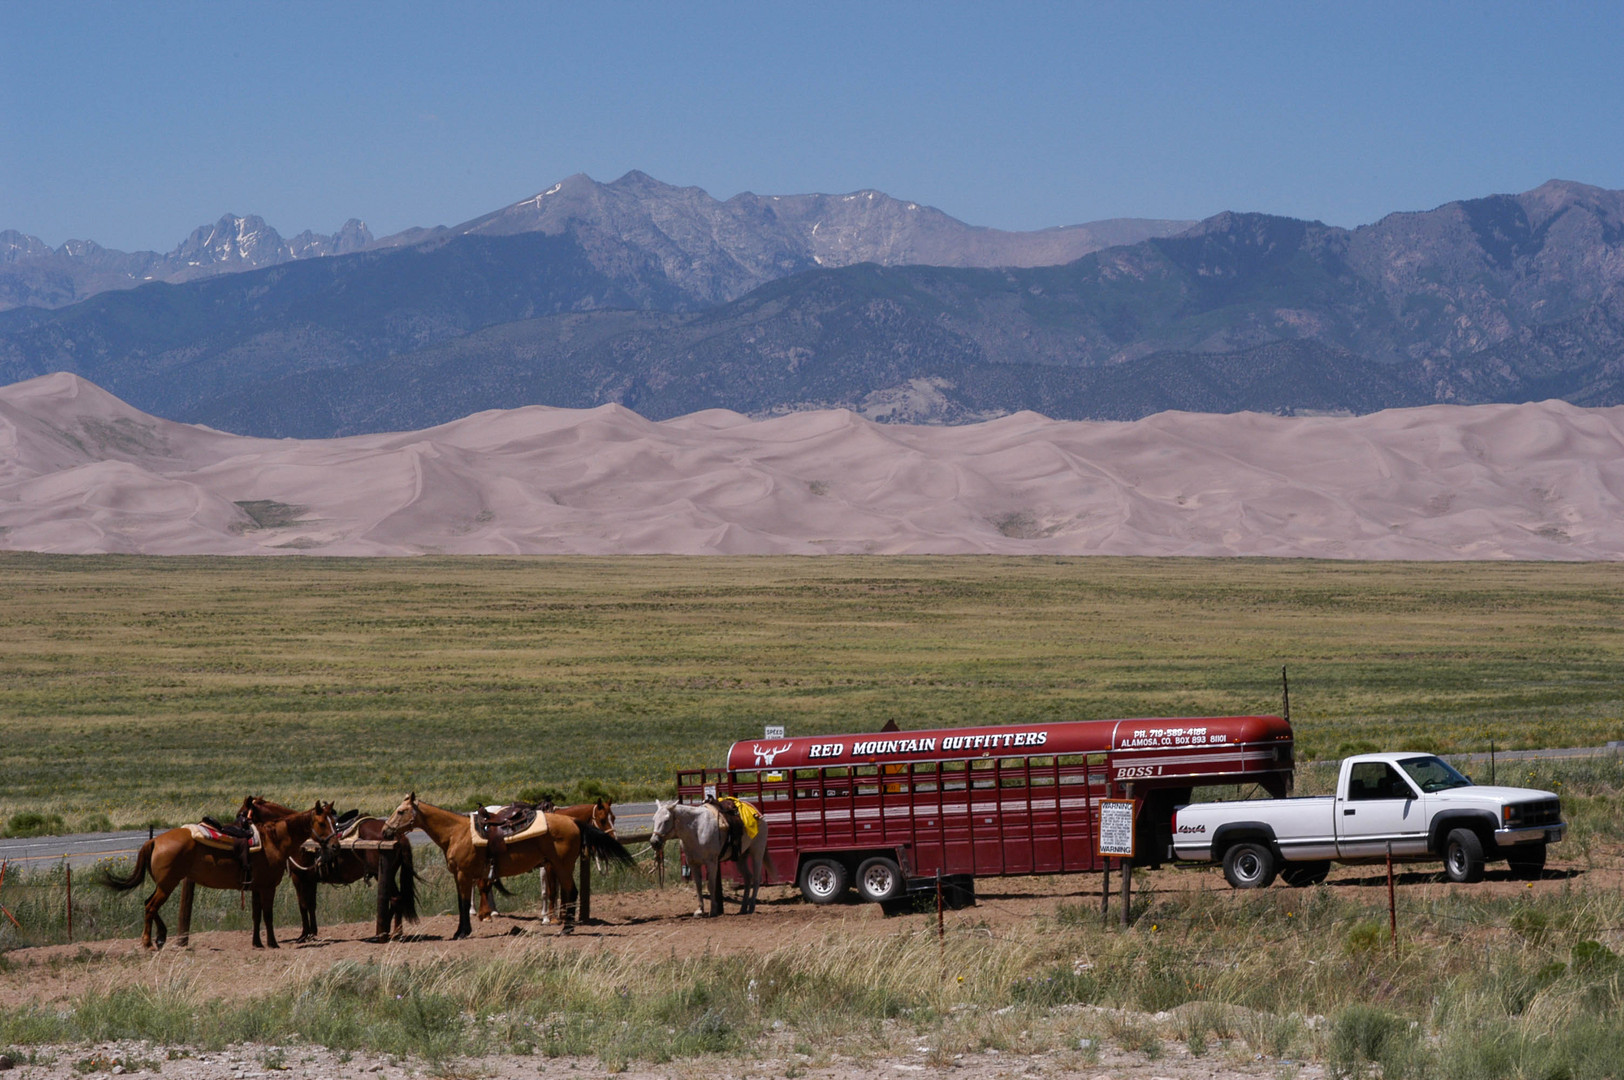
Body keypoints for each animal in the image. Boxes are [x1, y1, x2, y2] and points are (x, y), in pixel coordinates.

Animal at [100, 799, 336, 941]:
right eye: (322, 822)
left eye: (333, 820)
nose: (334, 845)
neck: (273, 840)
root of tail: (155, 840)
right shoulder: (269, 886)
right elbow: (268, 914)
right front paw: (272, 943)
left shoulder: (258, 886)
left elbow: (258, 915)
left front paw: (259, 943)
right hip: (168, 883)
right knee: (150, 906)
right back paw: (150, 941)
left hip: (165, 884)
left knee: (149, 904)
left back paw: (160, 937)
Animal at [381, 792, 633, 935]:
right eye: (603, 818)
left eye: (400, 811)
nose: (385, 830)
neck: (456, 832)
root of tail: (572, 822)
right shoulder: (460, 874)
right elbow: (463, 901)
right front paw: (464, 929)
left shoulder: (463, 874)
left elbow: (462, 903)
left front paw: (462, 932)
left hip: (562, 866)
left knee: (571, 892)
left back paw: (567, 929)